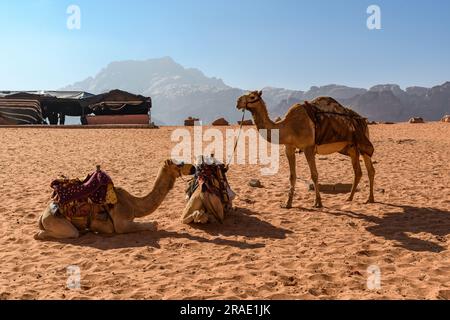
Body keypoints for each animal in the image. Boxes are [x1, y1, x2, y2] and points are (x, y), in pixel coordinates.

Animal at [34, 160, 196, 240]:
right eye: (179, 164)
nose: (194, 167)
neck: (134, 205)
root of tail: (42, 216)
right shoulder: (121, 225)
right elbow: (154, 224)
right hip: (57, 222)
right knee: (60, 233)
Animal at [236, 91, 376, 209]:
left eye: (252, 97)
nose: (237, 102)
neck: (288, 127)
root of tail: (363, 120)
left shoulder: (309, 148)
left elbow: (314, 175)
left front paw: (318, 202)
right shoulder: (289, 147)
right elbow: (292, 176)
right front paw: (288, 203)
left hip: (363, 144)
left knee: (369, 169)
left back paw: (369, 199)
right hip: (352, 148)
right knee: (359, 172)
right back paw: (351, 197)